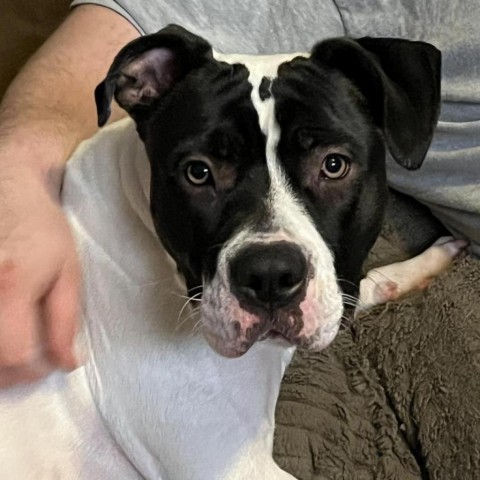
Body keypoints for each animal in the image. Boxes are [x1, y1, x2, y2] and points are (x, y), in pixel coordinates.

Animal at [0, 25, 464, 480]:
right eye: (198, 171)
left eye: (333, 165)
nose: (270, 275)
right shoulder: (228, 465)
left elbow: (352, 289)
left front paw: (415, 268)